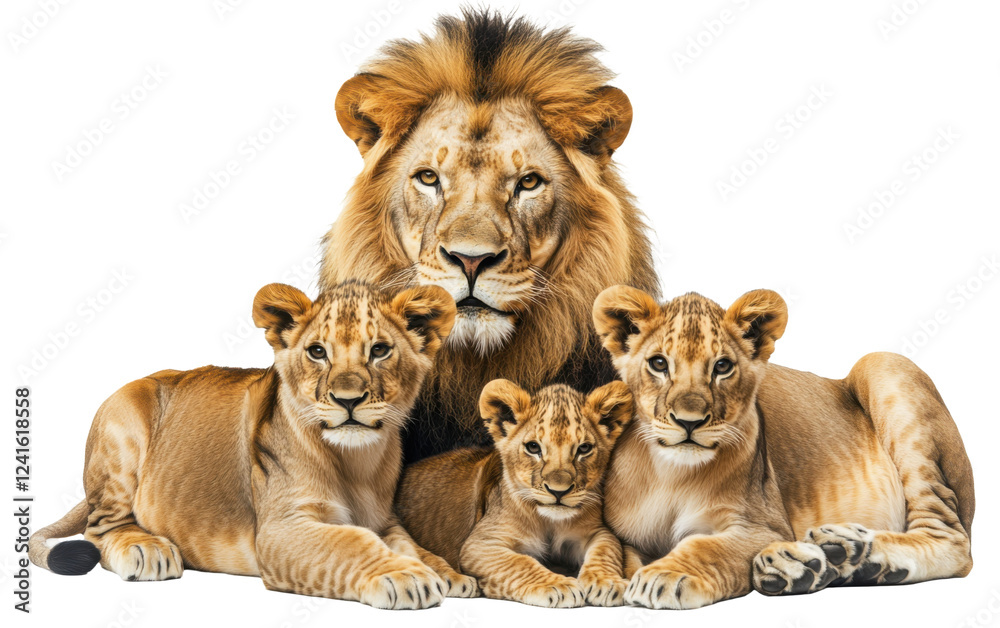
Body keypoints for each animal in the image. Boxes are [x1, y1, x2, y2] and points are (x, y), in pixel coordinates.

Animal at [29, 280, 480, 609]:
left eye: (380, 350)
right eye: (318, 352)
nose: (347, 400)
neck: (356, 462)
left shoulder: (385, 520)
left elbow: (411, 545)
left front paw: (450, 574)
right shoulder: (280, 529)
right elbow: (351, 542)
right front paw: (405, 575)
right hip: (123, 419)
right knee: (100, 527)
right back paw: (146, 549)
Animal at [395, 380, 633, 607]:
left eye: (584, 449)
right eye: (533, 447)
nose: (558, 491)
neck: (549, 522)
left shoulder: (596, 531)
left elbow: (606, 549)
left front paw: (608, 581)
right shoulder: (479, 543)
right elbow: (520, 563)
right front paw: (558, 584)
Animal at [591, 286, 974, 609]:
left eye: (722, 366)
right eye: (658, 363)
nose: (689, 421)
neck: (671, 474)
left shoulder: (765, 526)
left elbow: (705, 545)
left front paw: (665, 573)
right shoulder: (623, 535)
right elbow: (622, 555)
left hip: (884, 364)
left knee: (952, 539)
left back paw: (843, 553)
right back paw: (838, 560)